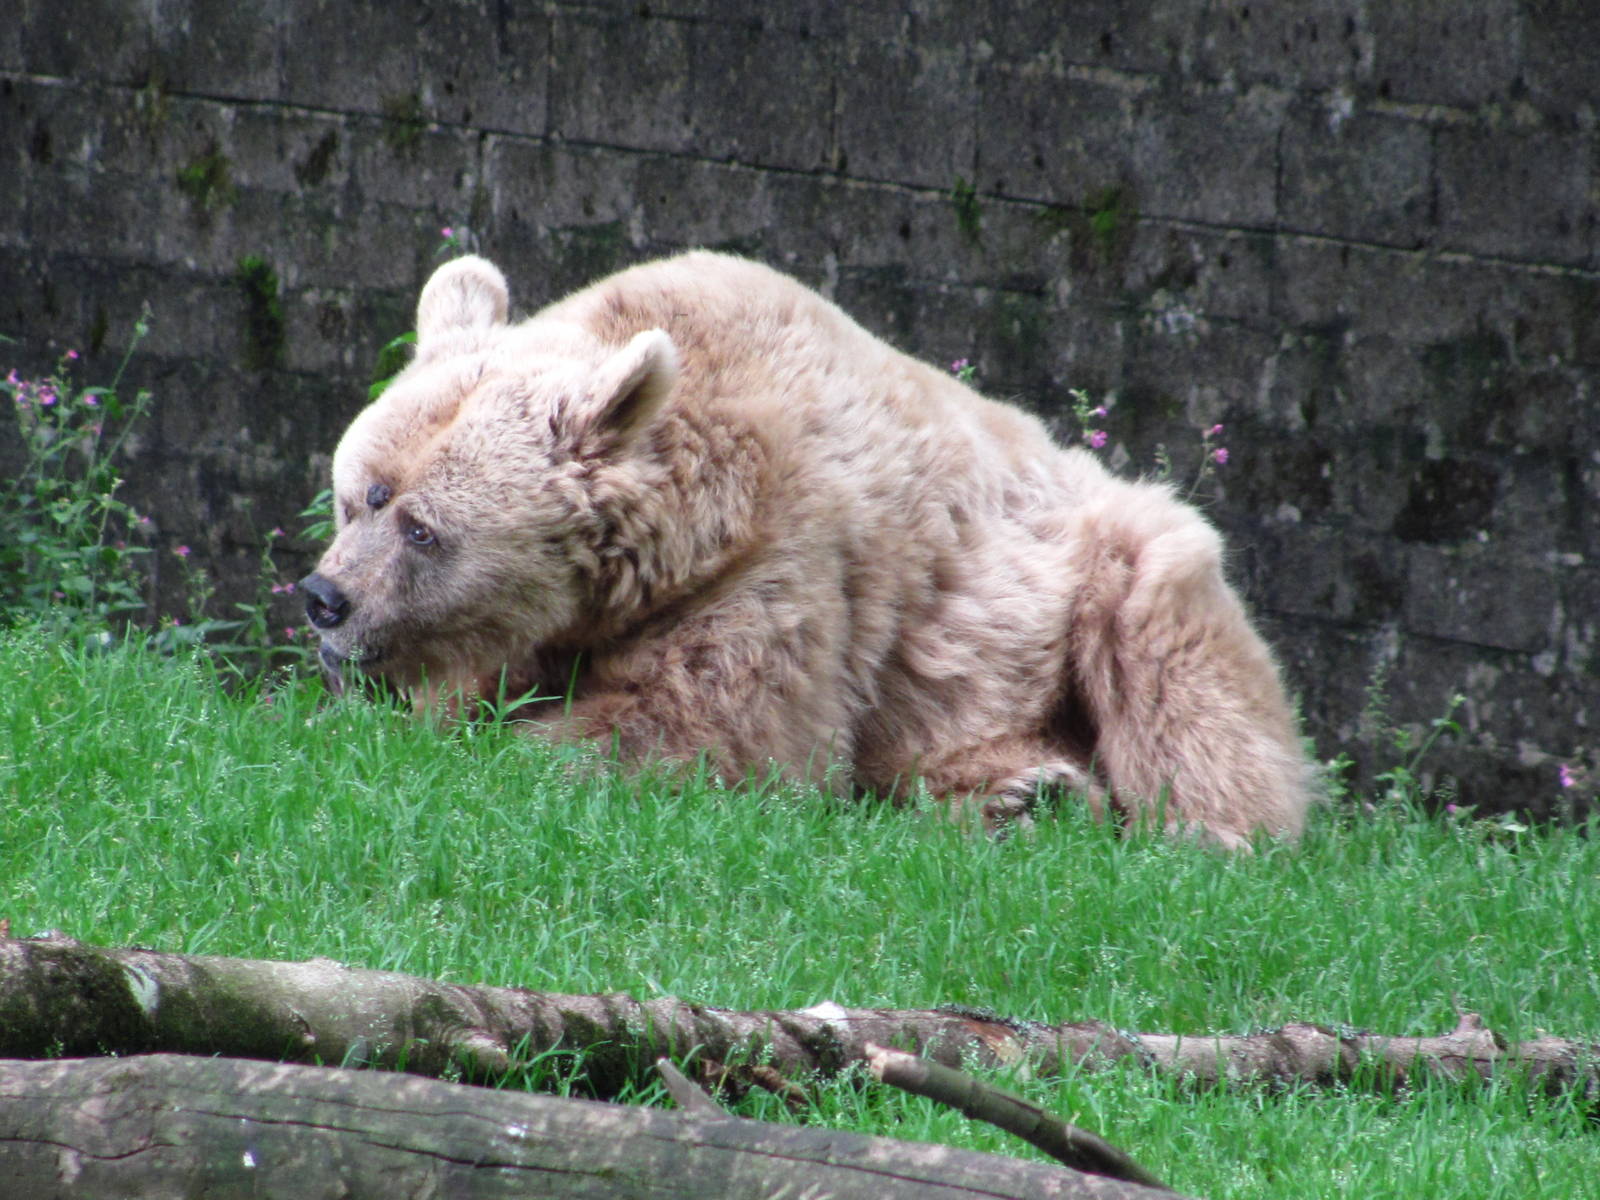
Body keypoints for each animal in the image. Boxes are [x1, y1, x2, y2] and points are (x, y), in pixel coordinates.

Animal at [302, 251, 1310, 848]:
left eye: (422, 528)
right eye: (357, 497)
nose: (324, 599)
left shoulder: (785, 567)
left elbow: (698, 730)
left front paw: (517, 745)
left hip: (1117, 567)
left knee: (1180, 694)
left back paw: (1197, 830)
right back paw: (1029, 793)